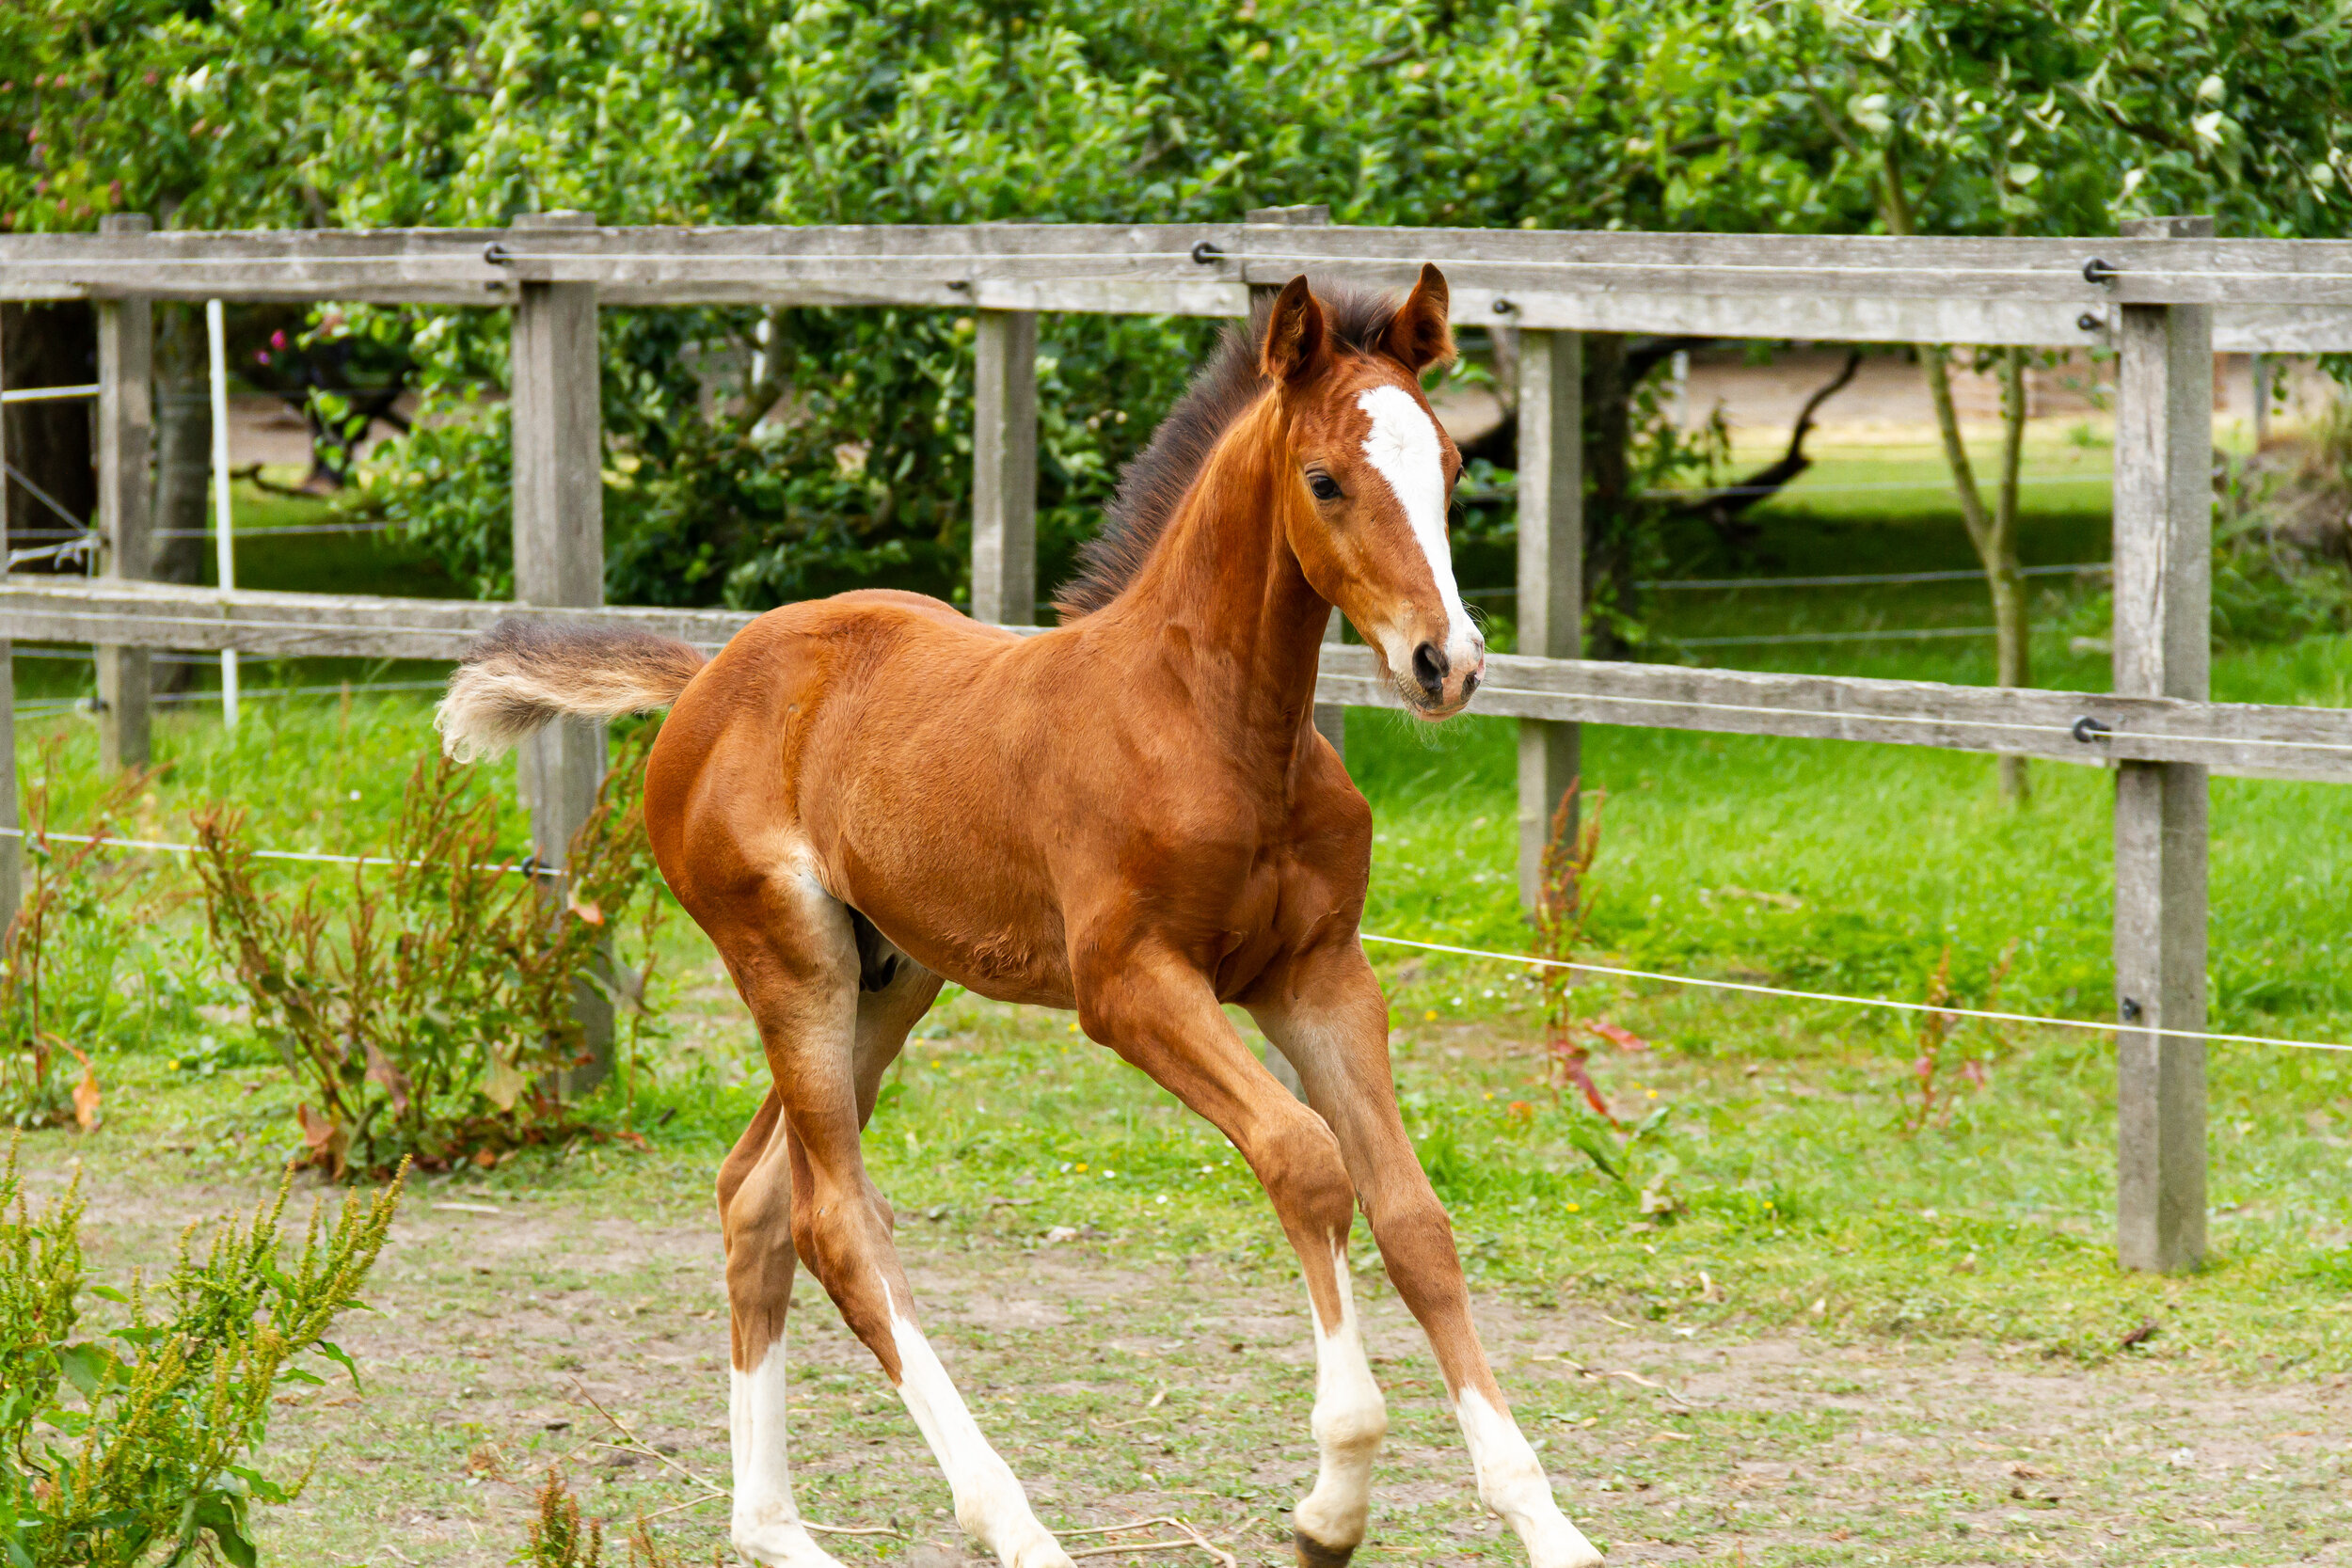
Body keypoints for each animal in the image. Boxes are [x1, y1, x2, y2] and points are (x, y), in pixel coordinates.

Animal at [438, 265, 1605, 1568]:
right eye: (1324, 479)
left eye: (1448, 466)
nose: (1445, 662)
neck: (1213, 722)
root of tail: (704, 682)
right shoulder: (1130, 983)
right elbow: (1305, 1159)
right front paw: (1329, 1501)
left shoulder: (1320, 975)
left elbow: (1413, 1214)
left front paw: (1545, 1522)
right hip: (789, 958)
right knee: (839, 1220)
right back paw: (1011, 1522)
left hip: (893, 977)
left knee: (757, 1196)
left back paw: (776, 1528)